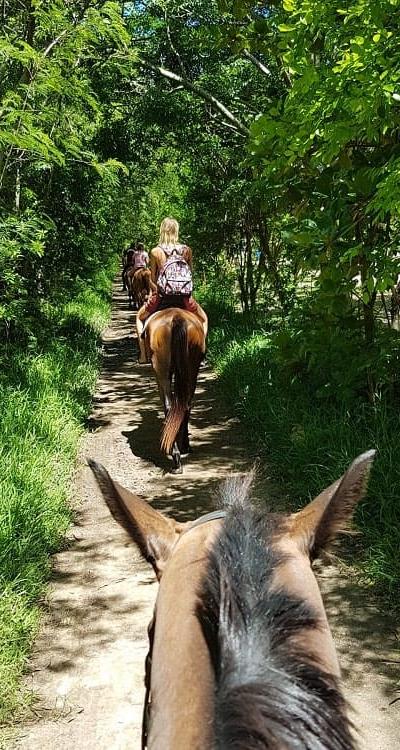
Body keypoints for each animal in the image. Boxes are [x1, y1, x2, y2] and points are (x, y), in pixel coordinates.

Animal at [142, 307, 206, 473]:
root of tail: (176, 318)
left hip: (161, 369)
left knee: (169, 405)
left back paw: (175, 455)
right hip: (191, 368)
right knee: (185, 404)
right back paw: (182, 448)